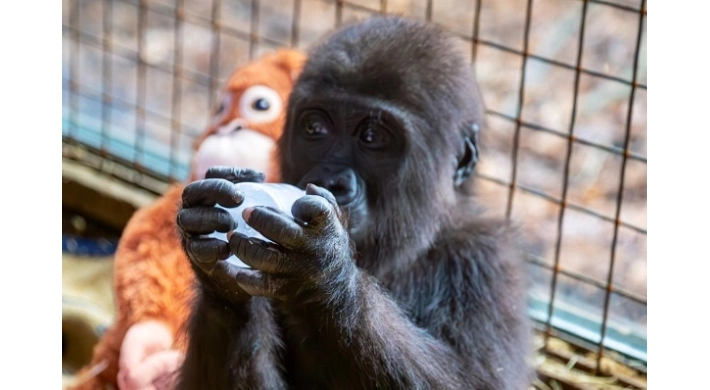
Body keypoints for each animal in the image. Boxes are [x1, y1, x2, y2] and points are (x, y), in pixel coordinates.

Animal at [177, 15, 536, 390]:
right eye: (315, 128)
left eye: (372, 137)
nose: (331, 180)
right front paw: (219, 285)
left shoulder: (487, 259)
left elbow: (481, 381)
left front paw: (324, 275)